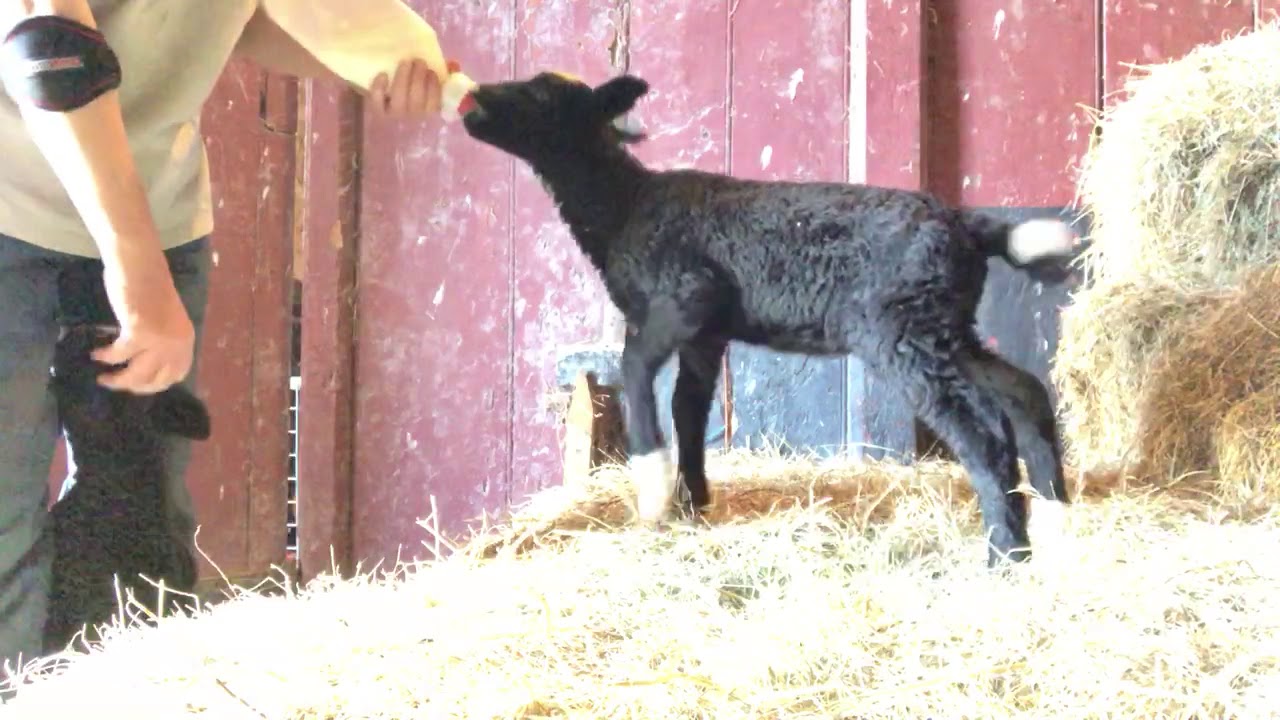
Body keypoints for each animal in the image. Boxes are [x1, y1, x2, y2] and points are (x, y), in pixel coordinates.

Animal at [461, 72, 1084, 566]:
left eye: (541, 93)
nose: (472, 99)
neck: (623, 206)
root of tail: (967, 226)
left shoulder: (684, 296)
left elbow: (635, 369)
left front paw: (654, 487)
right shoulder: (708, 333)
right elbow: (689, 410)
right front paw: (692, 503)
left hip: (900, 332)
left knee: (982, 436)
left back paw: (1006, 552)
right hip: (943, 327)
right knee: (1024, 392)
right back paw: (1054, 512)